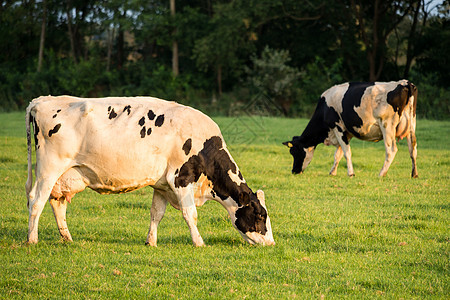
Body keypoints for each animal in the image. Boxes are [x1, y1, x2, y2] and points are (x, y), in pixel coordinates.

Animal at [284, 80, 418, 178]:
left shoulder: (337, 127)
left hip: (387, 125)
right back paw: (414, 174)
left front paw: (351, 173)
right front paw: (332, 172)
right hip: (412, 126)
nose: (294, 171)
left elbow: (346, 152)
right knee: (413, 150)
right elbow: (338, 154)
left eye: (294, 152)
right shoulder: (346, 133)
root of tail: (404, 82)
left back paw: (381, 173)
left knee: (391, 150)